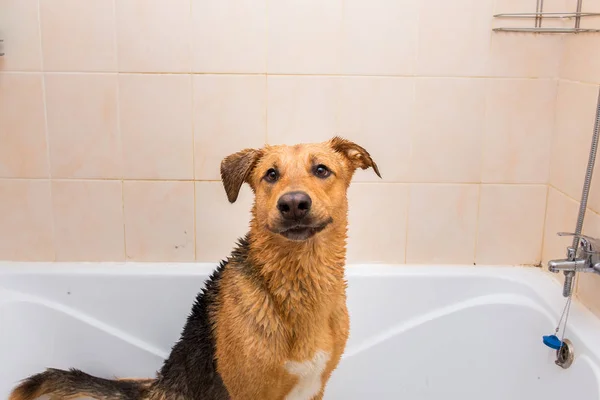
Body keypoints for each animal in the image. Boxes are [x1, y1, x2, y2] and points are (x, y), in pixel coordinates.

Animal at [10, 137, 380, 400]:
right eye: (271, 175)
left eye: (322, 170)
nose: (293, 204)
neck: (296, 285)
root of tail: (159, 384)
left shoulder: (315, 387)